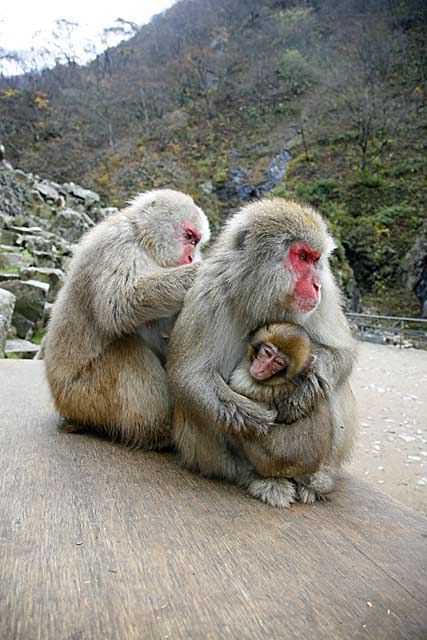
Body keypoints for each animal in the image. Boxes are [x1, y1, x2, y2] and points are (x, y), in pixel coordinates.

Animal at [44, 188, 210, 448]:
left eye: (197, 242)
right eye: (189, 237)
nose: (192, 258)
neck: (144, 242)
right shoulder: (117, 243)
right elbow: (119, 304)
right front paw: (199, 271)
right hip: (82, 396)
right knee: (127, 351)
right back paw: (160, 434)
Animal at [167, 198, 358, 508]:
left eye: (316, 260)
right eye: (302, 256)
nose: (315, 284)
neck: (262, 297)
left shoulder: (326, 296)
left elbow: (341, 354)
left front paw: (300, 393)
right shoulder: (208, 292)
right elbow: (188, 375)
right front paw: (251, 418)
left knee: (329, 389)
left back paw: (312, 480)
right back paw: (258, 478)